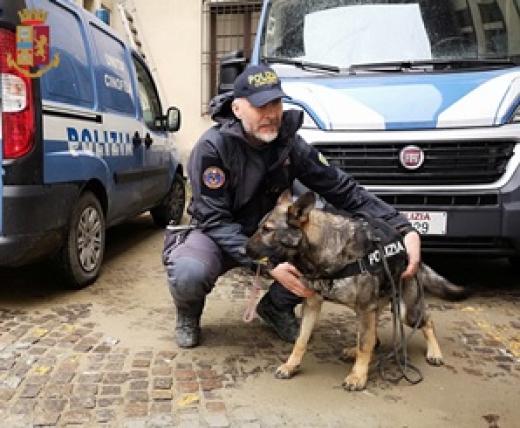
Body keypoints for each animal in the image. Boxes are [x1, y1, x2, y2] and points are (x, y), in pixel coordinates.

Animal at [246, 191, 466, 392]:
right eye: (259, 227)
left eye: (267, 230)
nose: (243, 250)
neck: (324, 249)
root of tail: (411, 252)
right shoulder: (312, 304)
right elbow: (301, 340)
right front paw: (291, 365)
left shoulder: (365, 308)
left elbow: (364, 345)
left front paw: (358, 376)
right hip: (372, 309)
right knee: (373, 337)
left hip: (405, 312)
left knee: (426, 322)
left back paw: (434, 353)